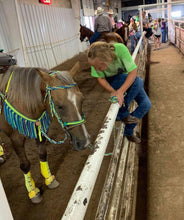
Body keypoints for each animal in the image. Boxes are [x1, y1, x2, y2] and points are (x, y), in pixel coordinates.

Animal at [0, 66, 90, 204]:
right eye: (59, 106)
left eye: (82, 99)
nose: (84, 142)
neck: (21, 100)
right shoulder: (16, 139)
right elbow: (25, 165)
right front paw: (33, 191)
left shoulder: (40, 130)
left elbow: (42, 155)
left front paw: (49, 179)